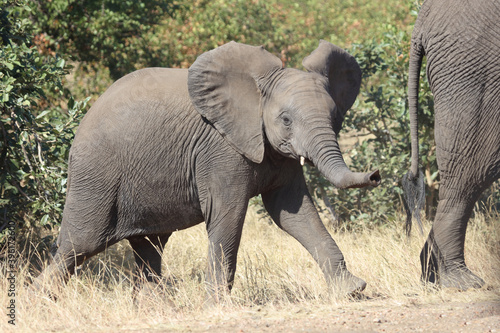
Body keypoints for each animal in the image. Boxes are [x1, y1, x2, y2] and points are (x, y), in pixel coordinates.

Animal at [37, 40, 380, 300]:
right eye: (285, 120)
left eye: (334, 117)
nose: (375, 175)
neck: (255, 91)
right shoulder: (220, 150)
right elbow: (229, 214)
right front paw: (218, 304)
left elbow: (293, 213)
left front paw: (352, 290)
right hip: (96, 173)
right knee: (79, 244)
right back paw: (42, 302)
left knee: (149, 245)